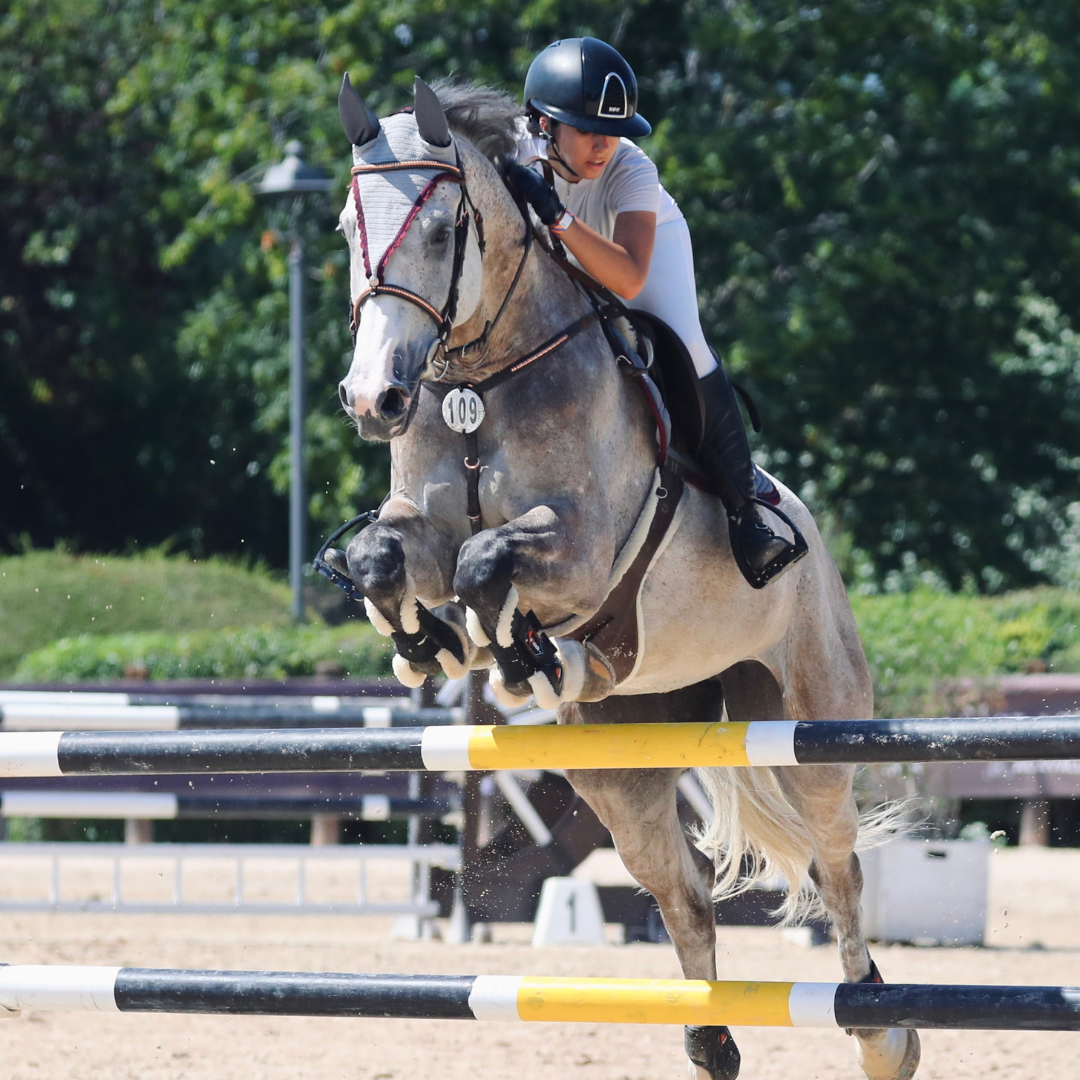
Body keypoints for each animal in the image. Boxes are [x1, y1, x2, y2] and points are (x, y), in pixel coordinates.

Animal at [330, 76, 920, 1080]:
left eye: (444, 231)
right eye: (345, 228)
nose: (376, 400)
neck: (483, 379)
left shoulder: (581, 551)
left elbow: (491, 560)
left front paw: (506, 649)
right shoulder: (422, 528)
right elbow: (387, 554)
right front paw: (430, 642)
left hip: (805, 725)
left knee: (836, 862)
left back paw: (883, 1031)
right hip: (622, 766)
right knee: (682, 889)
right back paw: (711, 1039)